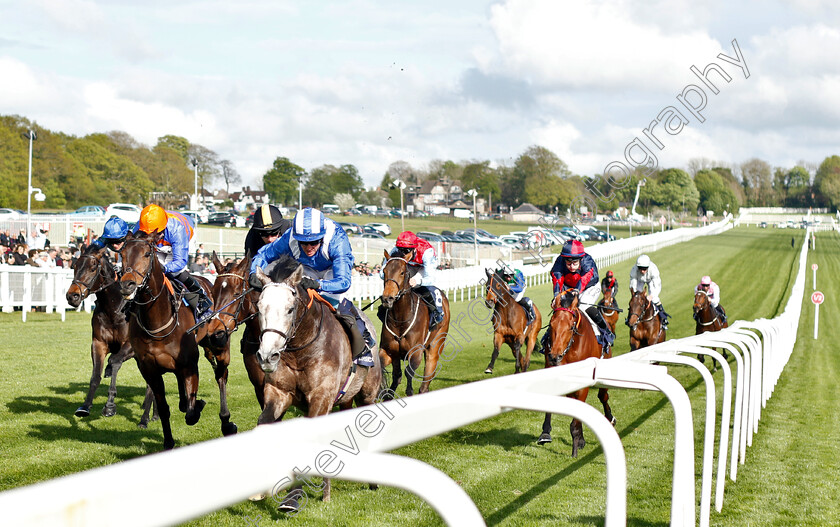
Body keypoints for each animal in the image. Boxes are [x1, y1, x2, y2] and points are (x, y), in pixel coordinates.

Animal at [65, 245, 156, 426]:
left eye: (93, 268)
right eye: (74, 266)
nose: (72, 296)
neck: (114, 308)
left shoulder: (130, 347)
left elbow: (114, 361)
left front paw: (109, 406)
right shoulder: (98, 343)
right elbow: (95, 375)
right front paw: (85, 406)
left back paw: (144, 418)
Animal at [118, 231, 213, 450]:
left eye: (146, 254)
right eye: (122, 254)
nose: (127, 284)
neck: (158, 322)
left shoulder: (190, 365)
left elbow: (191, 412)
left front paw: (198, 404)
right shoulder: (149, 369)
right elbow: (163, 408)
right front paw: (168, 441)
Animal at [249, 254, 380, 510]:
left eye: (290, 309)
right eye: (259, 307)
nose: (267, 356)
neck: (302, 350)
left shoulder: (321, 396)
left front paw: (292, 497)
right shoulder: (278, 392)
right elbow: (264, 423)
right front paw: (261, 489)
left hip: (367, 394)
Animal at [378, 252, 450, 396]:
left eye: (402, 272)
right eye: (384, 271)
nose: (387, 298)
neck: (400, 319)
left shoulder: (415, 351)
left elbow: (408, 372)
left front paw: (409, 391)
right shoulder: (389, 350)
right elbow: (392, 373)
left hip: (436, 344)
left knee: (427, 378)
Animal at [540, 288, 616, 458]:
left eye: (570, 326)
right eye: (552, 325)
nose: (555, 356)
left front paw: (574, 449)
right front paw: (545, 433)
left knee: (603, 396)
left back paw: (610, 418)